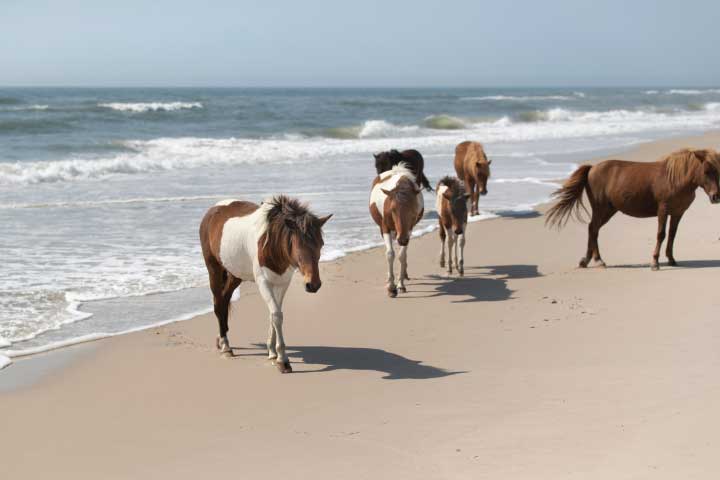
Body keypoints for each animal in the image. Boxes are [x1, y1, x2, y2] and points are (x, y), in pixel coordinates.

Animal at [197, 194, 332, 372]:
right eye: (298, 245)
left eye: (321, 244)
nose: (313, 284)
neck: (273, 244)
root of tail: (212, 211)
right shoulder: (264, 282)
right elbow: (276, 315)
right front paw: (283, 360)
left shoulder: (282, 283)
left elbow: (273, 315)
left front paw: (272, 352)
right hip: (214, 268)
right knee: (219, 303)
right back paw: (226, 346)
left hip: (235, 275)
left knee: (225, 300)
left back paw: (221, 339)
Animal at [372, 162, 422, 296]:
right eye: (393, 209)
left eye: (413, 208)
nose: (402, 240)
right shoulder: (385, 228)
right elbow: (390, 254)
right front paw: (391, 286)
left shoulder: (408, 230)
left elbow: (402, 255)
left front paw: (400, 284)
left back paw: (404, 274)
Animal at [544, 148, 720, 270]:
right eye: (706, 171)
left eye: (718, 171)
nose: (715, 197)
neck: (676, 179)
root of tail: (592, 168)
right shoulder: (663, 210)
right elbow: (661, 235)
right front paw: (655, 262)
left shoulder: (678, 213)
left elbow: (672, 235)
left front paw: (671, 259)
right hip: (601, 208)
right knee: (593, 229)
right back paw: (598, 260)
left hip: (609, 210)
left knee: (592, 229)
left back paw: (587, 261)